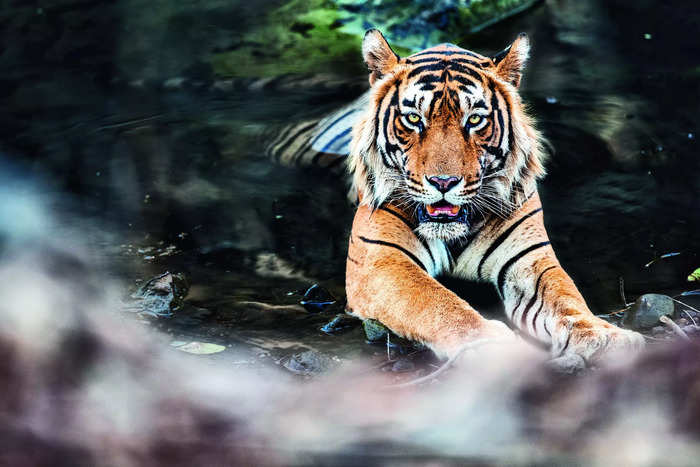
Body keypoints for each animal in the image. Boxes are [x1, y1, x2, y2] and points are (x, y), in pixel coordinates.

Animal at [268, 29, 645, 364]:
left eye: (475, 119)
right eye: (414, 118)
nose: (443, 181)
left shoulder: (530, 258)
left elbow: (566, 297)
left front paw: (602, 336)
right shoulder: (381, 262)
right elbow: (437, 303)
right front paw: (493, 344)